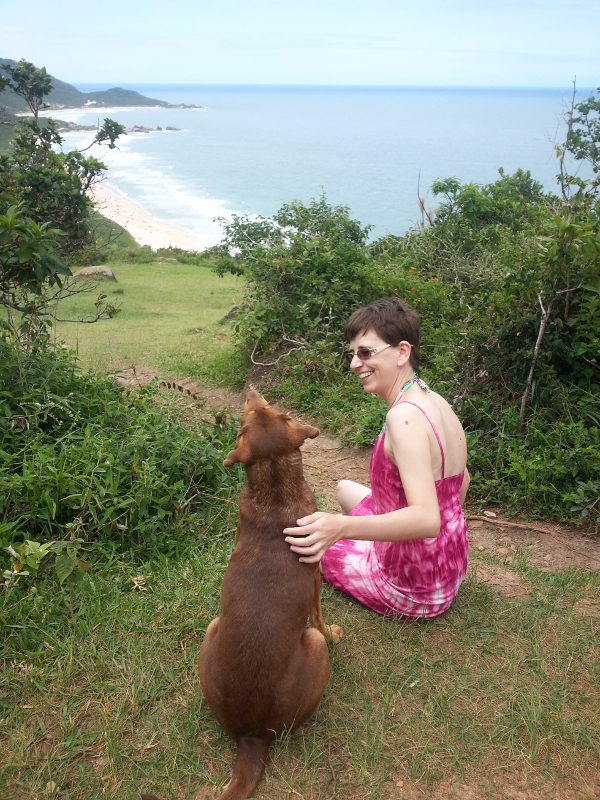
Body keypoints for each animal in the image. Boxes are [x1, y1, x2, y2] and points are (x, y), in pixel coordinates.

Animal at [197, 392, 340, 800]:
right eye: (248, 414)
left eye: (269, 410)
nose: (251, 391)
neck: (274, 489)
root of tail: (251, 737)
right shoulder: (315, 579)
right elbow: (320, 617)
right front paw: (336, 632)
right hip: (312, 651)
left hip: (212, 629)